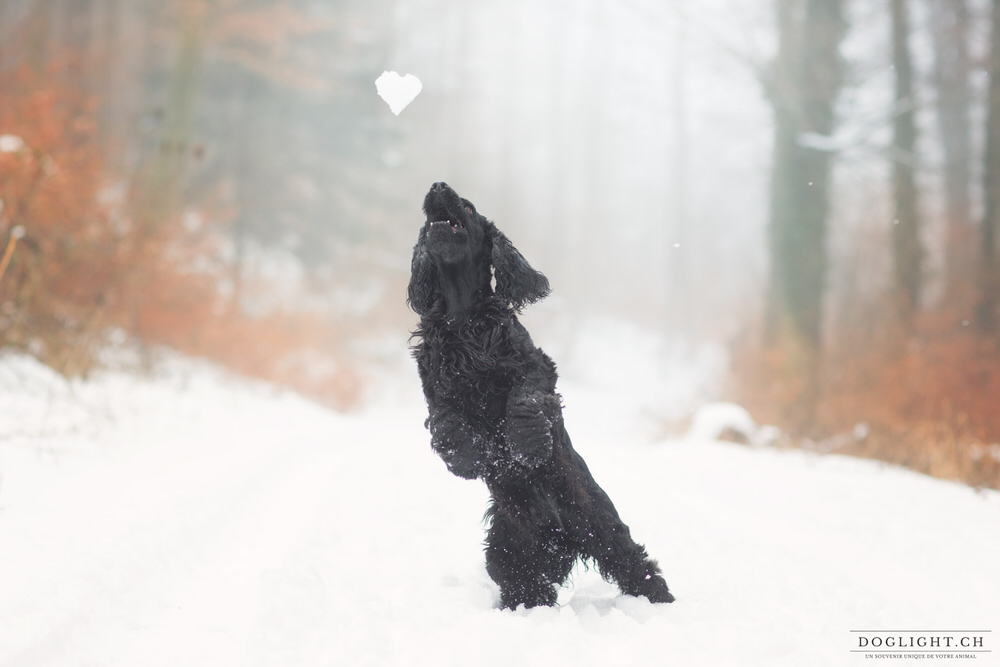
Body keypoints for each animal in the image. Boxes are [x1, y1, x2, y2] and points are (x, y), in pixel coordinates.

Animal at [404, 183, 672, 612]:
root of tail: (564, 537)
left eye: (468, 207)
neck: (462, 321)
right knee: (526, 585)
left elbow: (524, 402)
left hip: (605, 529)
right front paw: (469, 459)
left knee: (638, 566)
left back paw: (662, 603)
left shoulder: (535, 368)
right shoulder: (435, 391)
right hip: (507, 551)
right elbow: (446, 424)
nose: (437, 186)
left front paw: (526, 447)